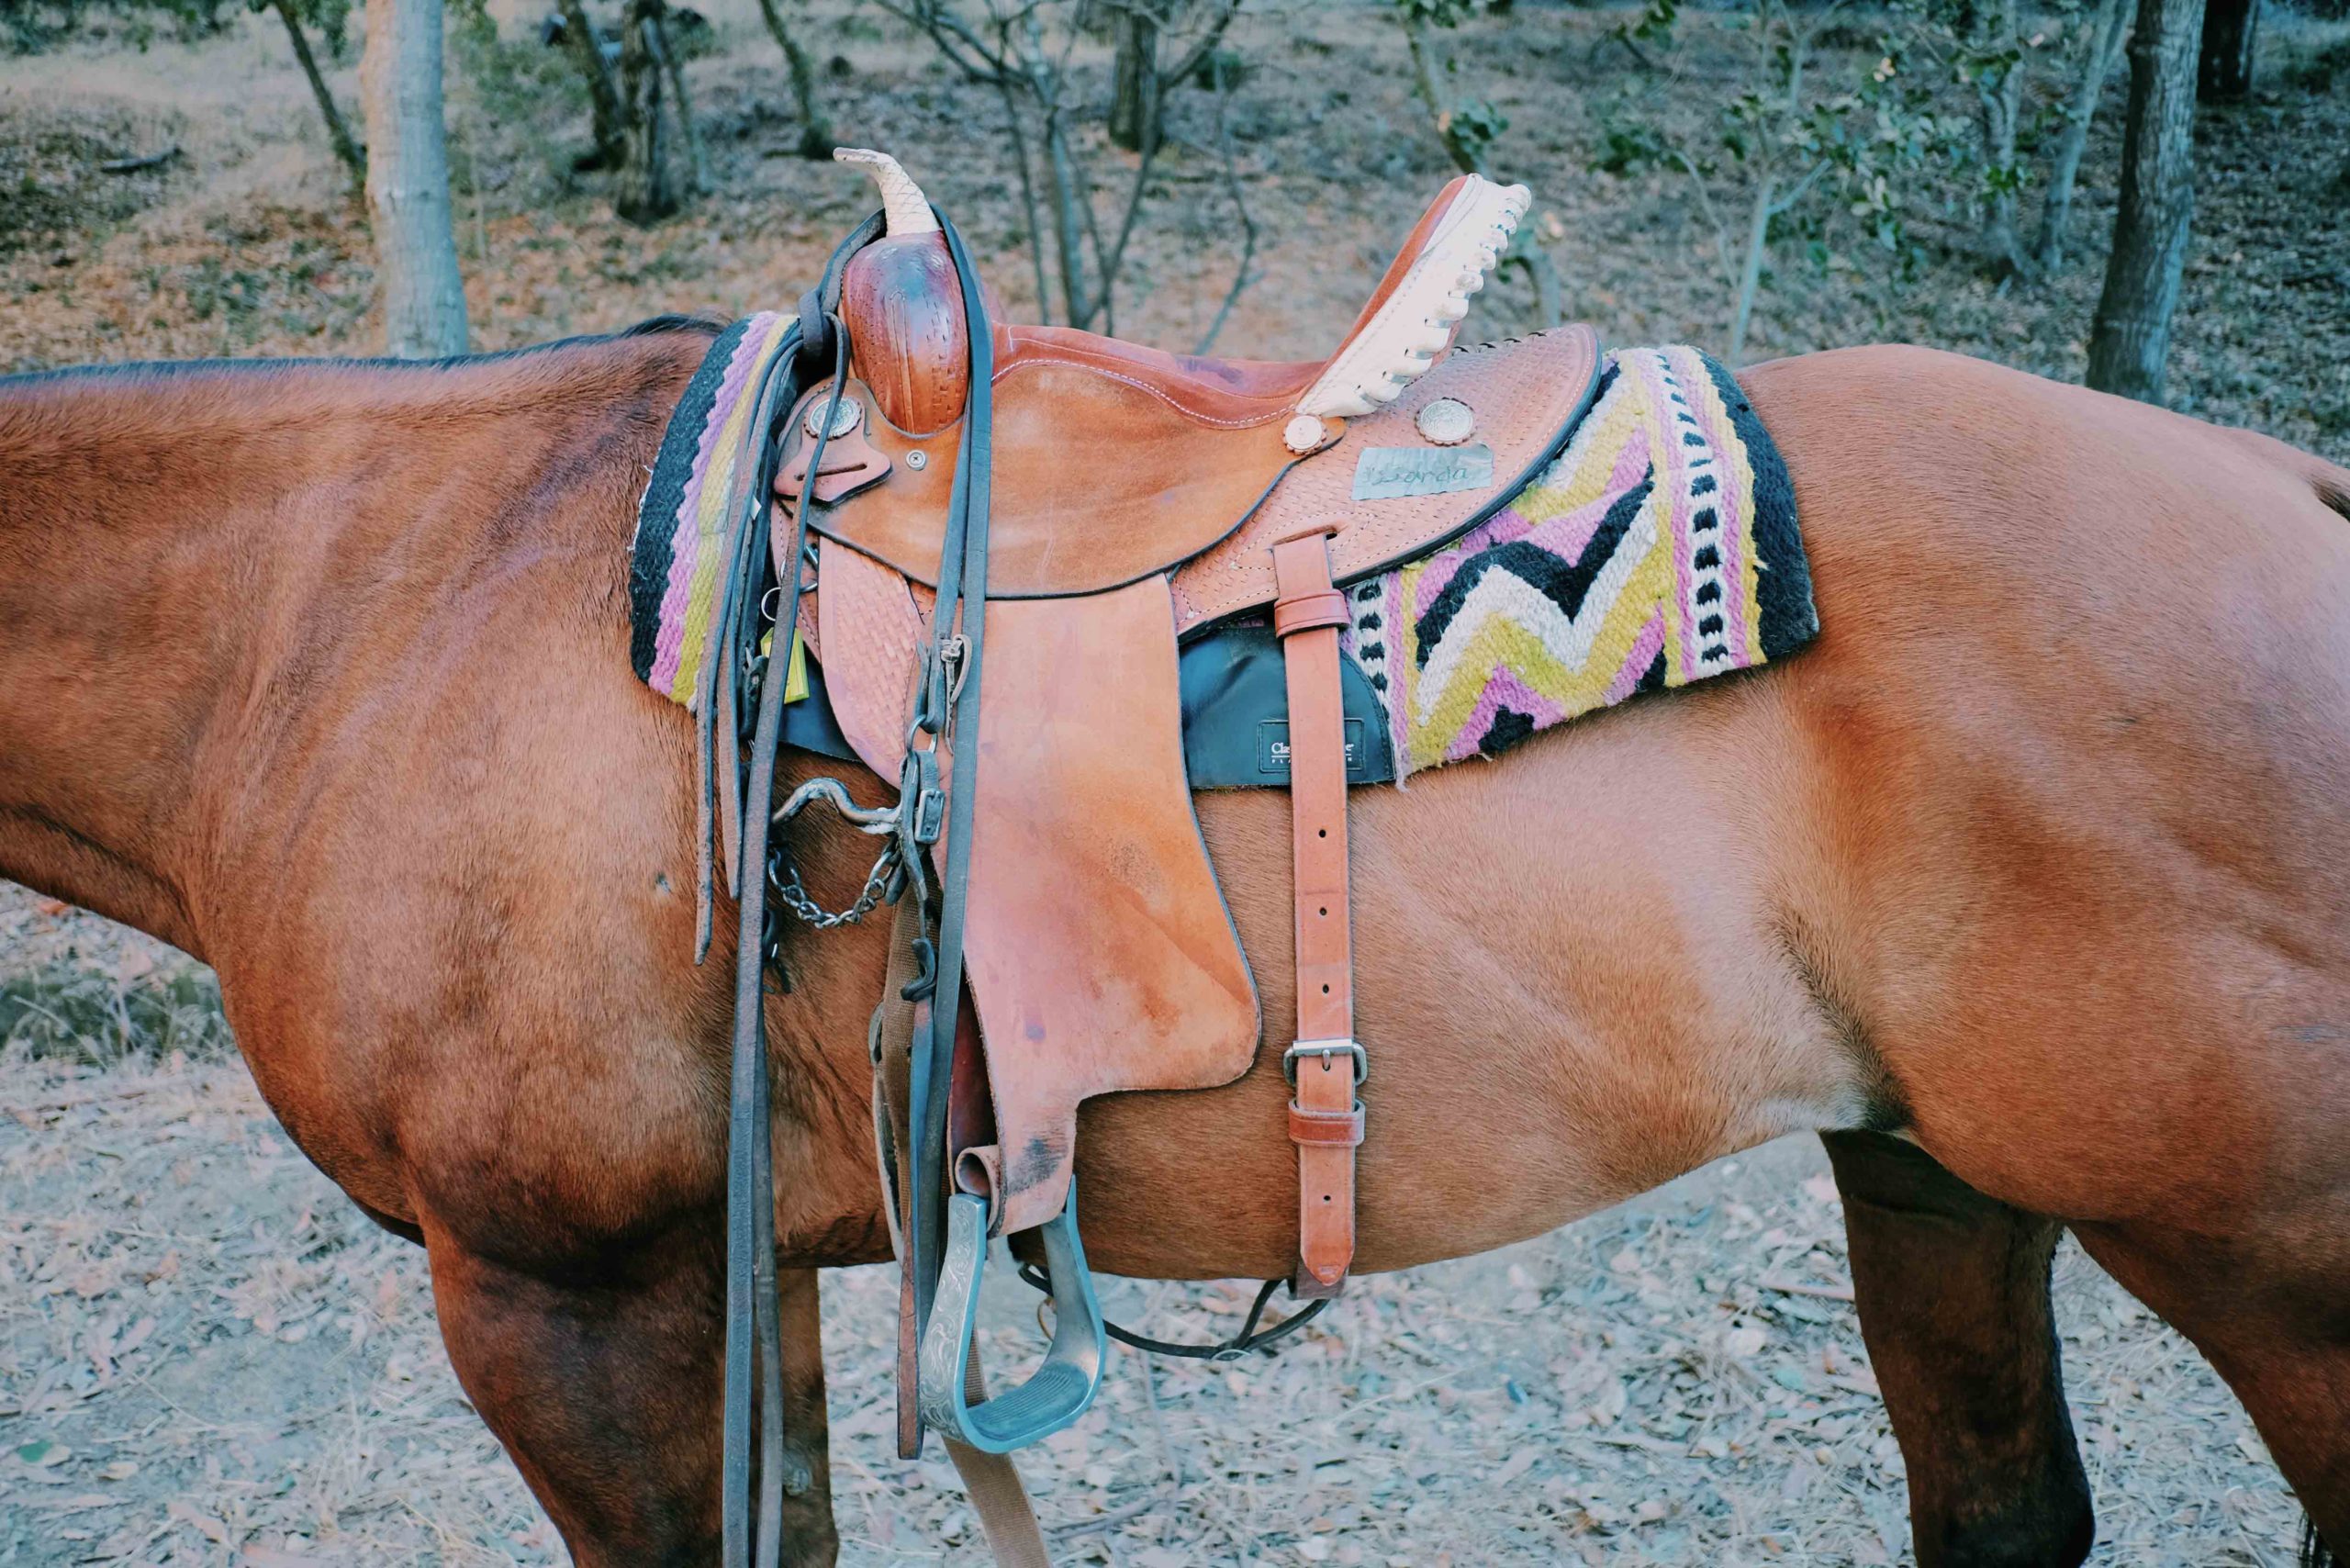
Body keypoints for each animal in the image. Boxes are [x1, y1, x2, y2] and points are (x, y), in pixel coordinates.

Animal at [3, 322, 2346, 1567]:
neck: (358, 607)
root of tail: (2285, 480)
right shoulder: (721, 1272)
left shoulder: (562, 1296)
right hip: (1943, 1181)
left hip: (2252, 1264)